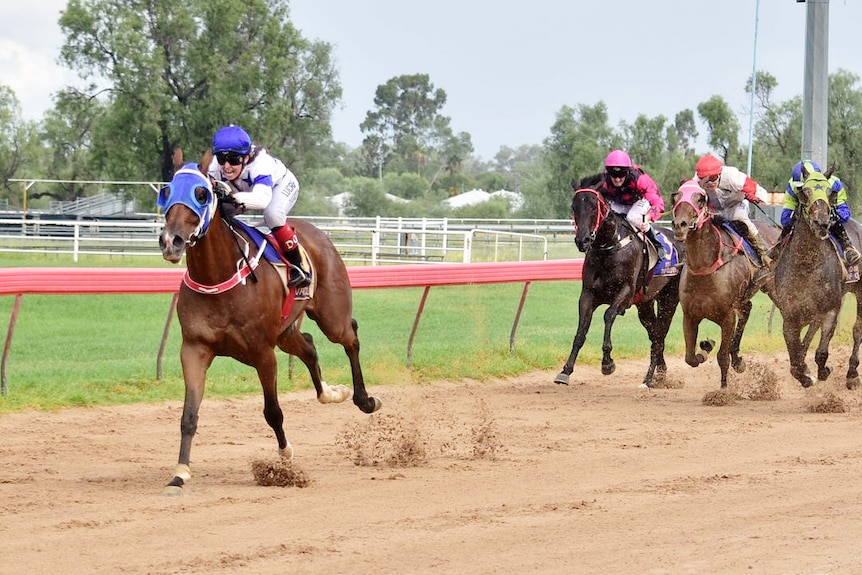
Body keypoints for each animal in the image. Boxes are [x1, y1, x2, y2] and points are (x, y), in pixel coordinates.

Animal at [156, 159, 384, 496]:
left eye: (201, 193)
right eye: (167, 191)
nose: (171, 241)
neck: (217, 277)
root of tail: (318, 232)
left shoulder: (263, 353)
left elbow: (273, 411)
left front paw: (285, 458)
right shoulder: (194, 350)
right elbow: (189, 415)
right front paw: (179, 474)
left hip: (331, 317)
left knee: (350, 336)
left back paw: (365, 400)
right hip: (285, 332)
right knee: (309, 345)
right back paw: (331, 393)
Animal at [556, 183, 684, 392]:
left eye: (594, 208)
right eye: (574, 207)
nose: (582, 240)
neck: (609, 248)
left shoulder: (625, 293)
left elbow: (608, 315)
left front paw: (607, 364)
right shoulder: (588, 295)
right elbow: (581, 331)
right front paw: (565, 371)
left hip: (669, 299)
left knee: (659, 337)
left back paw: (648, 379)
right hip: (645, 304)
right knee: (655, 335)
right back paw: (661, 373)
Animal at [672, 178, 788, 390]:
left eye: (700, 199)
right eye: (676, 197)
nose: (679, 225)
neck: (705, 268)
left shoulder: (727, 317)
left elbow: (722, 357)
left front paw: (724, 390)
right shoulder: (689, 316)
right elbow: (690, 358)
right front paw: (706, 347)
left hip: (773, 287)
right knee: (747, 309)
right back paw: (737, 359)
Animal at [772, 166, 862, 392]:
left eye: (831, 193)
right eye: (805, 192)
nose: (821, 222)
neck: (807, 265)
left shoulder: (831, 309)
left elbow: (821, 353)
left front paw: (823, 371)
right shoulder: (790, 317)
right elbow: (794, 362)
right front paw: (805, 375)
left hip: (859, 292)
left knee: (857, 330)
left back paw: (852, 373)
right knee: (811, 331)